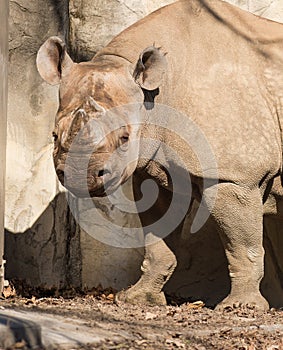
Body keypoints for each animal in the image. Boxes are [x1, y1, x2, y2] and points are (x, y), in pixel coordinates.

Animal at [37, 0, 283, 312]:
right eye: (54, 135)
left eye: (125, 138)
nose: (81, 175)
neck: (155, 94)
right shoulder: (156, 167)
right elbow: (158, 240)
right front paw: (136, 299)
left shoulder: (234, 176)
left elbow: (241, 245)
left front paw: (240, 307)